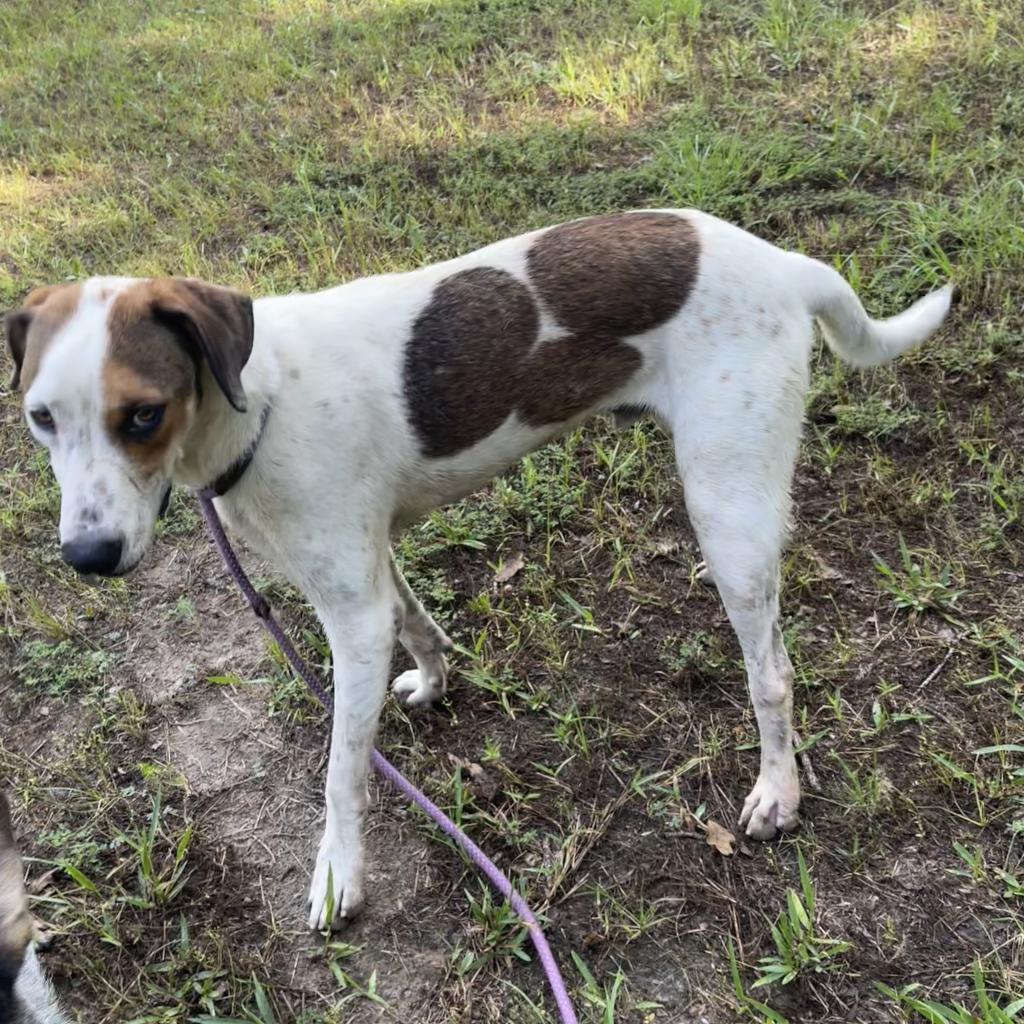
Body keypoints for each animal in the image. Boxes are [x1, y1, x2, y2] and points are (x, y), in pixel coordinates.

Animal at [6, 207, 950, 929]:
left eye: (143, 415)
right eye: (41, 418)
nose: (86, 558)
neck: (257, 397)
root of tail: (784, 264)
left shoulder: (349, 619)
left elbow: (341, 771)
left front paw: (339, 875)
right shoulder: (367, 569)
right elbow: (419, 622)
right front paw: (434, 681)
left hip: (732, 516)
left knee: (773, 676)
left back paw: (778, 789)